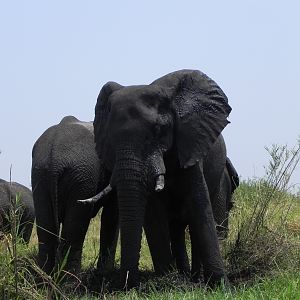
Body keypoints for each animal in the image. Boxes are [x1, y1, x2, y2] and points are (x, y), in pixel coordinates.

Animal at [30, 116, 118, 276]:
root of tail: (55, 159)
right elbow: (112, 214)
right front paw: (106, 273)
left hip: (40, 173)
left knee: (47, 231)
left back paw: (44, 279)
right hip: (82, 175)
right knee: (74, 232)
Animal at [81, 69, 232, 288]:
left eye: (158, 130)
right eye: (110, 137)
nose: (127, 285)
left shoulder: (190, 143)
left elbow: (199, 205)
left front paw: (222, 287)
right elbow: (154, 213)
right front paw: (166, 283)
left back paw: (196, 279)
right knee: (175, 228)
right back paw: (184, 277)